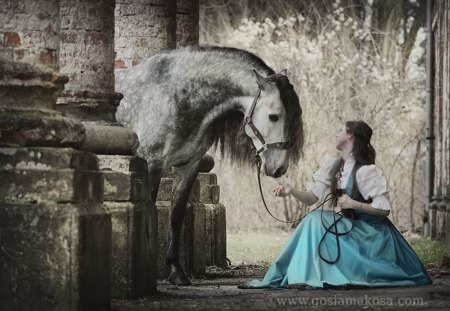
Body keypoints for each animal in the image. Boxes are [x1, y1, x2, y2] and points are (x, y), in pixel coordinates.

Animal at [114, 45, 304, 286]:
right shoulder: (151, 162)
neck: (174, 95)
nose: (280, 168)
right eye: (273, 116)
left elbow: (176, 216)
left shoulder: (188, 166)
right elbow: (151, 208)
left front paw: (176, 272)